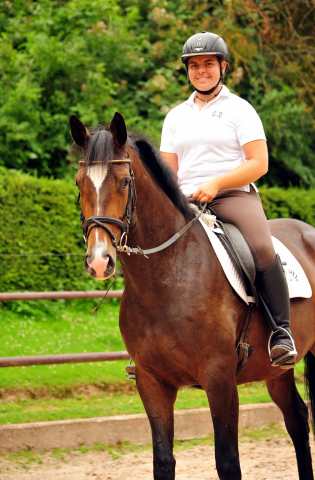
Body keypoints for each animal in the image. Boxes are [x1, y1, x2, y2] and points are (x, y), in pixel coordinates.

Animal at [70, 112, 315, 480]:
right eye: (78, 183)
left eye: (124, 182)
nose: (99, 261)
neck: (168, 277)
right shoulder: (152, 381)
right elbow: (163, 461)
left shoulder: (220, 378)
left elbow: (227, 461)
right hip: (276, 371)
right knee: (297, 419)